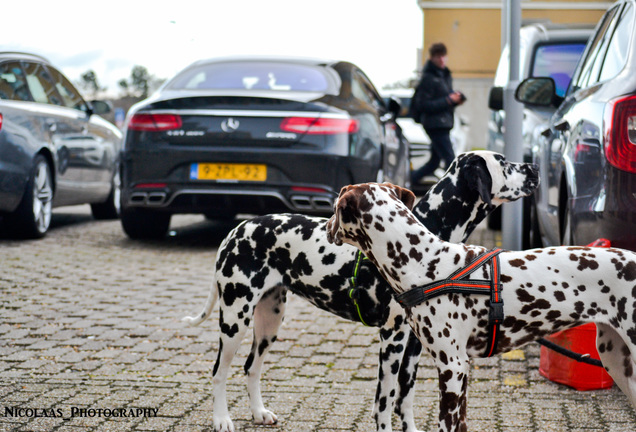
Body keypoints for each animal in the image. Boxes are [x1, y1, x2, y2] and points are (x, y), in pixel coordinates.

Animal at [181, 152, 540, 432]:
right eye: (504, 162)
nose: (535, 167)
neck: (423, 232)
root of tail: (237, 229)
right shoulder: (393, 337)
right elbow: (387, 399)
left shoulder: (414, 345)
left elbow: (405, 398)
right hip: (234, 320)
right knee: (219, 371)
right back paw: (221, 419)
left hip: (269, 322)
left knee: (251, 367)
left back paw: (258, 413)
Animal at [326, 182, 636, 432]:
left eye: (334, 209)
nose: (326, 225)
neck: (425, 262)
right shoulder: (461, 369)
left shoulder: (451, 367)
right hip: (617, 362)